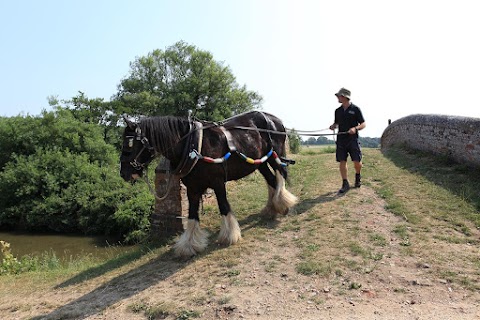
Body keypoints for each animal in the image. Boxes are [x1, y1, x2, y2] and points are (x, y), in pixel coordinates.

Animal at [120, 111, 296, 256]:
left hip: (275, 156)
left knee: (280, 175)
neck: (193, 146)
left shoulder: (218, 182)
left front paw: (229, 236)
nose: (124, 174)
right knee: (272, 180)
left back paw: (283, 204)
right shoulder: (192, 188)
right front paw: (188, 245)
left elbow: (223, 206)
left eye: (130, 144)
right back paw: (272, 209)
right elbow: (192, 214)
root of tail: (274, 119)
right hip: (260, 163)